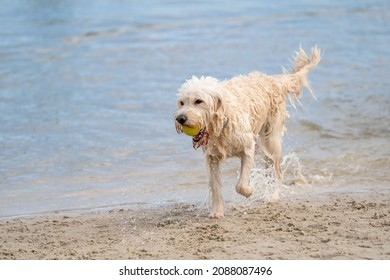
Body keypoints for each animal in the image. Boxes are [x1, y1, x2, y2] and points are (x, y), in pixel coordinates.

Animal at [175, 46, 322, 218]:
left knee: (278, 171)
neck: (223, 122)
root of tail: (272, 80)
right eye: (181, 102)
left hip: (270, 141)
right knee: (269, 169)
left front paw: (249, 191)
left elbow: (240, 184)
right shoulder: (212, 158)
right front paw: (217, 211)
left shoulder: (247, 149)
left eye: (199, 101)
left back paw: (274, 196)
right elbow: (216, 186)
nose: (180, 118)